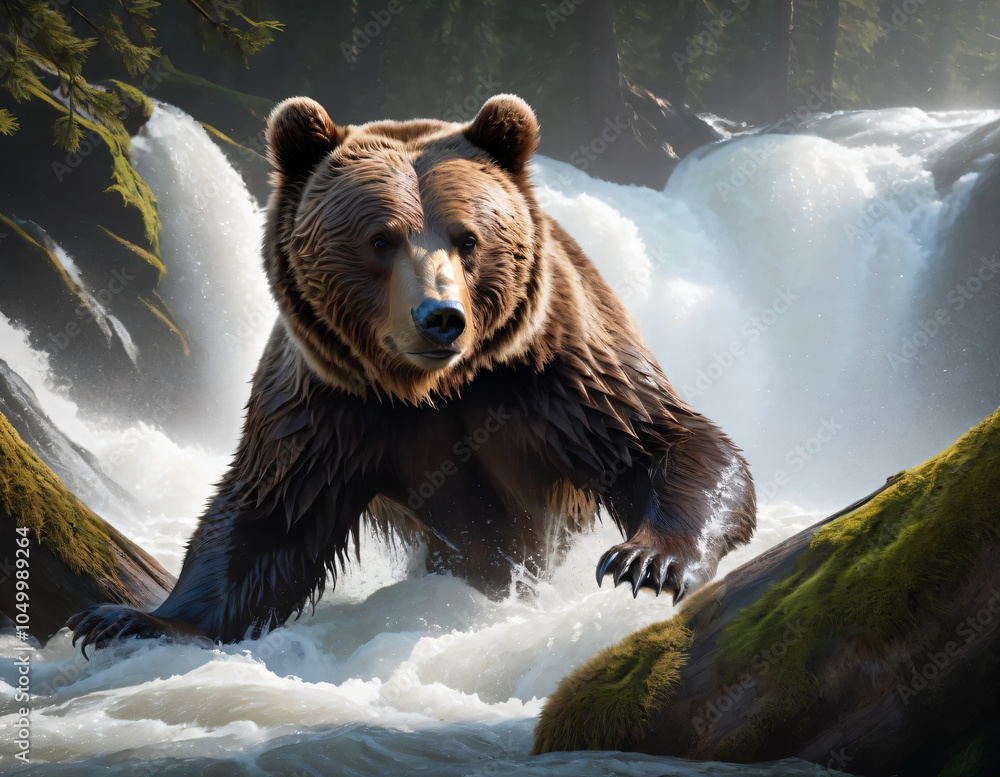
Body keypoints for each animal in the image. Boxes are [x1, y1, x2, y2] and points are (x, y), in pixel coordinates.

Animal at [69, 95, 756, 653]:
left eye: (469, 238)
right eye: (380, 239)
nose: (441, 317)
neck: (436, 388)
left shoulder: (554, 377)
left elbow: (662, 438)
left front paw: (647, 562)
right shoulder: (333, 406)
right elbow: (268, 513)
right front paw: (126, 619)